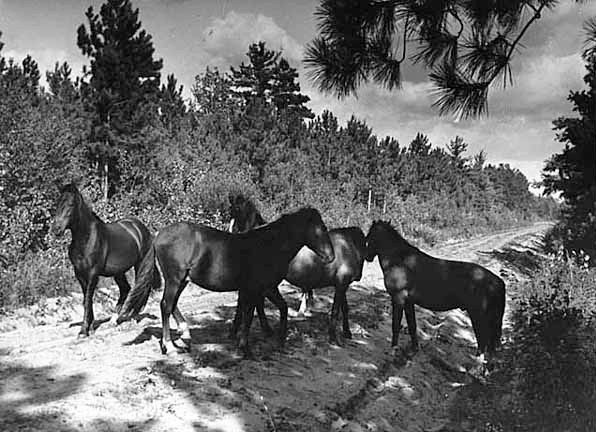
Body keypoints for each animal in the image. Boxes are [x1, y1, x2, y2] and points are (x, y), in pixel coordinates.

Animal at [52, 182, 156, 338]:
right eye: (57, 204)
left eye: (70, 204)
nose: (56, 229)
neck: (87, 238)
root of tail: (140, 227)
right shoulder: (80, 275)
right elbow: (86, 299)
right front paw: (90, 326)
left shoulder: (93, 274)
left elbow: (88, 300)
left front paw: (84, 330)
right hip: (118, 272)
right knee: (125, 289)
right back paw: (114, 320)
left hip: (140, 264)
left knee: (140, 287)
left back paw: (133, 317)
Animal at [117, 208, 338, 356]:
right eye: (320, 229)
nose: (331, 257)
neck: (268, 246)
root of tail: (158, 236)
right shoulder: (259, 288)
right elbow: (250, 314)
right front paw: (245, 347)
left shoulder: (261, 288)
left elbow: (276, 309)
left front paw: (278, 340)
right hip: (174, 278)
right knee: (165, 305)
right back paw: (170, 346)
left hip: (183, 280)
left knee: (172, 305)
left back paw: (185, 335)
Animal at [229, 195, 366, 344]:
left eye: (236, 210)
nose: (233, 231)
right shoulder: (341, 285)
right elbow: (337, 310)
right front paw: (334, 336)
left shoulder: (341, 284)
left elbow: (343, 308)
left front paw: (346, 332)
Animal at [366, 221, 506, 356]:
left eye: (370, 237)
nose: (367, 257)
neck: (399, 262)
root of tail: (497, 281)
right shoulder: (408, 302)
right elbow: (412, 325)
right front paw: (414, 348)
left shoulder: (398, 298)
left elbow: (395, 325)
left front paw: (393, 349)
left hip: (478, 314)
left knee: (483, 338)